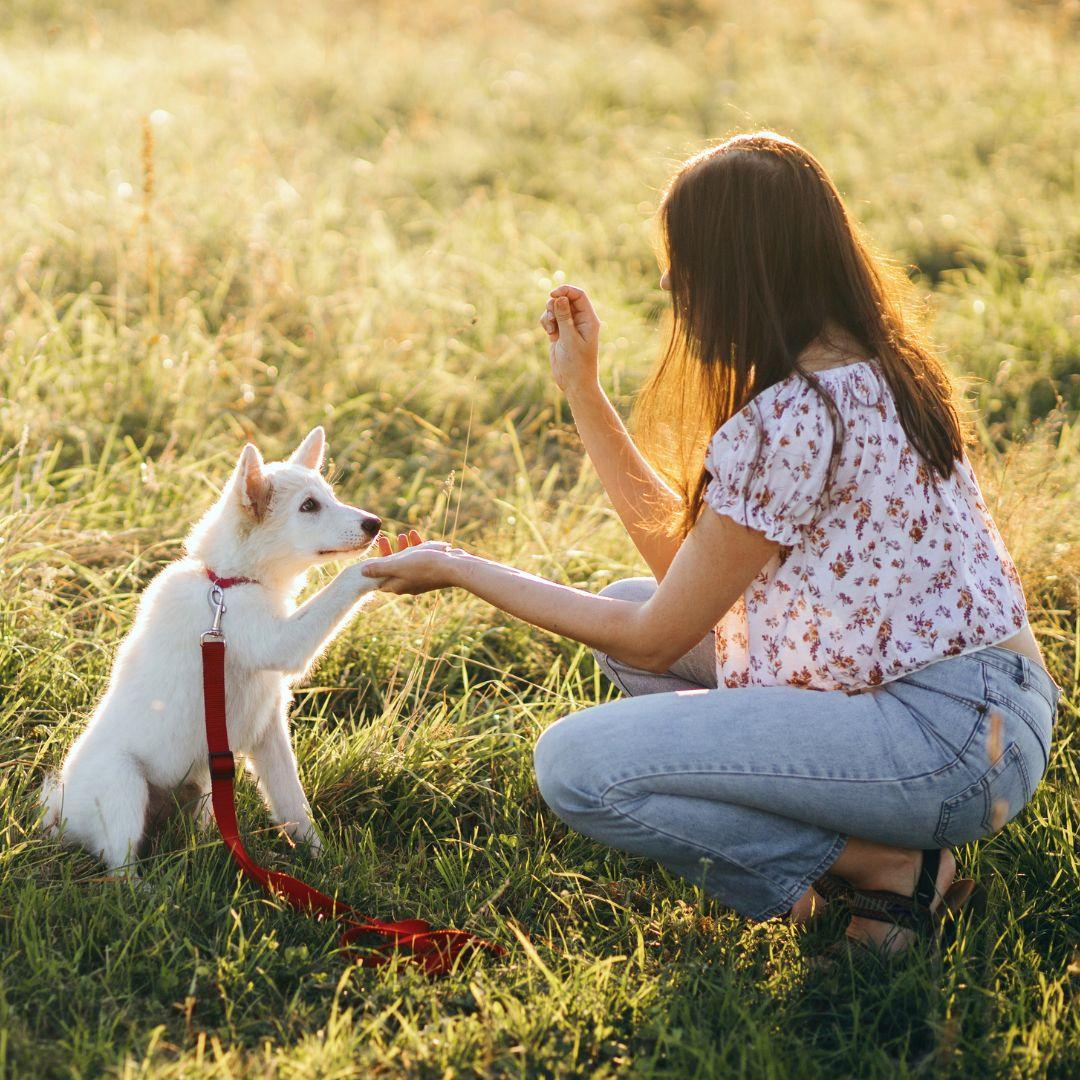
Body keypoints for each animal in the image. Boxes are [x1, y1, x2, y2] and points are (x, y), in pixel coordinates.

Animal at [39, 425, 384, 872]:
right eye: (309, 506)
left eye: (330, 495)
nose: (375, 524)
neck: (227, 583)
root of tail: (59, 814)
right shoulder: (281, 643)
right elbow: (342, 585)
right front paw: (400, 560)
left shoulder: (269, 731)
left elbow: (294, 806)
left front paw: (325, 863)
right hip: (124, 783)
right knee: (119, 866)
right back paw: (146, 884)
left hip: (202, 787)